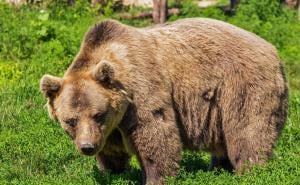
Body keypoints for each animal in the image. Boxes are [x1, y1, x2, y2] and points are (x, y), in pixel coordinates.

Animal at [39, 18, 288, 184]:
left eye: (98, 114)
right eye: (70, 120)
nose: (87, 147)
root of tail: (273, 50)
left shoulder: (141, 92)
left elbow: (156, 134)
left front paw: (155, 176)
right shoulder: (111, 127)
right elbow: (111, 150)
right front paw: (111, 170)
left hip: (241, 86)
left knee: (248, 131)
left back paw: (250, 170)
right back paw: (220, 167)